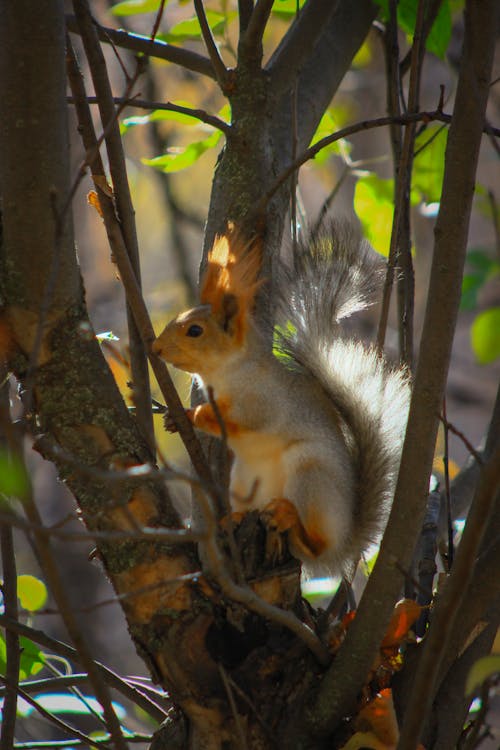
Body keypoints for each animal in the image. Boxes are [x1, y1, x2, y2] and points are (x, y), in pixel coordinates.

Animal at [153, 225, 410, 580]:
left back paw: (292, 522)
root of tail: (344, 546)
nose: (156, 348)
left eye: (194, 330)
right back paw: (234, 518)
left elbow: (242, 421)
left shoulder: (264, 403)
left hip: (310, 471)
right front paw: (173, 420)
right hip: (244, 479)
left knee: (314, 543)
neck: (229, 370)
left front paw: (194, 415)